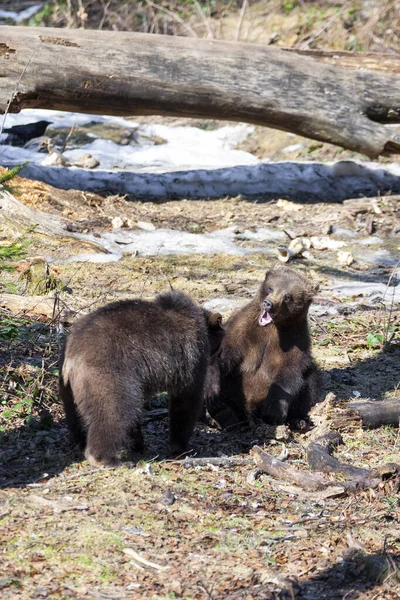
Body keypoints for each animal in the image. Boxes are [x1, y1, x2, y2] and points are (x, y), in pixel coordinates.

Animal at [58, 290, 225, 468]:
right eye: (219, 349)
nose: (219, 356)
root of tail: (72, 356)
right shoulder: (190, 357)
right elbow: (186, 400)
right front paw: (181, 447)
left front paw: (138, 444)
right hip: (106, 372)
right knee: (113, 410)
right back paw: (108, 459)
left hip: (68, 385)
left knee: (73, 412)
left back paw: (79, 441)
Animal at [208, 264, 320, 426]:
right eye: (270, 288)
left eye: (287, 296)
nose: (269, 304)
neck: (272, 327)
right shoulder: (241, 329)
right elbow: (224, 354)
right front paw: (212, 395)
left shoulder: (294, 340)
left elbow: (289, 372)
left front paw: (274, 412)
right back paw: (222, 413)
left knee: (310, 382)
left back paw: (298, 420)